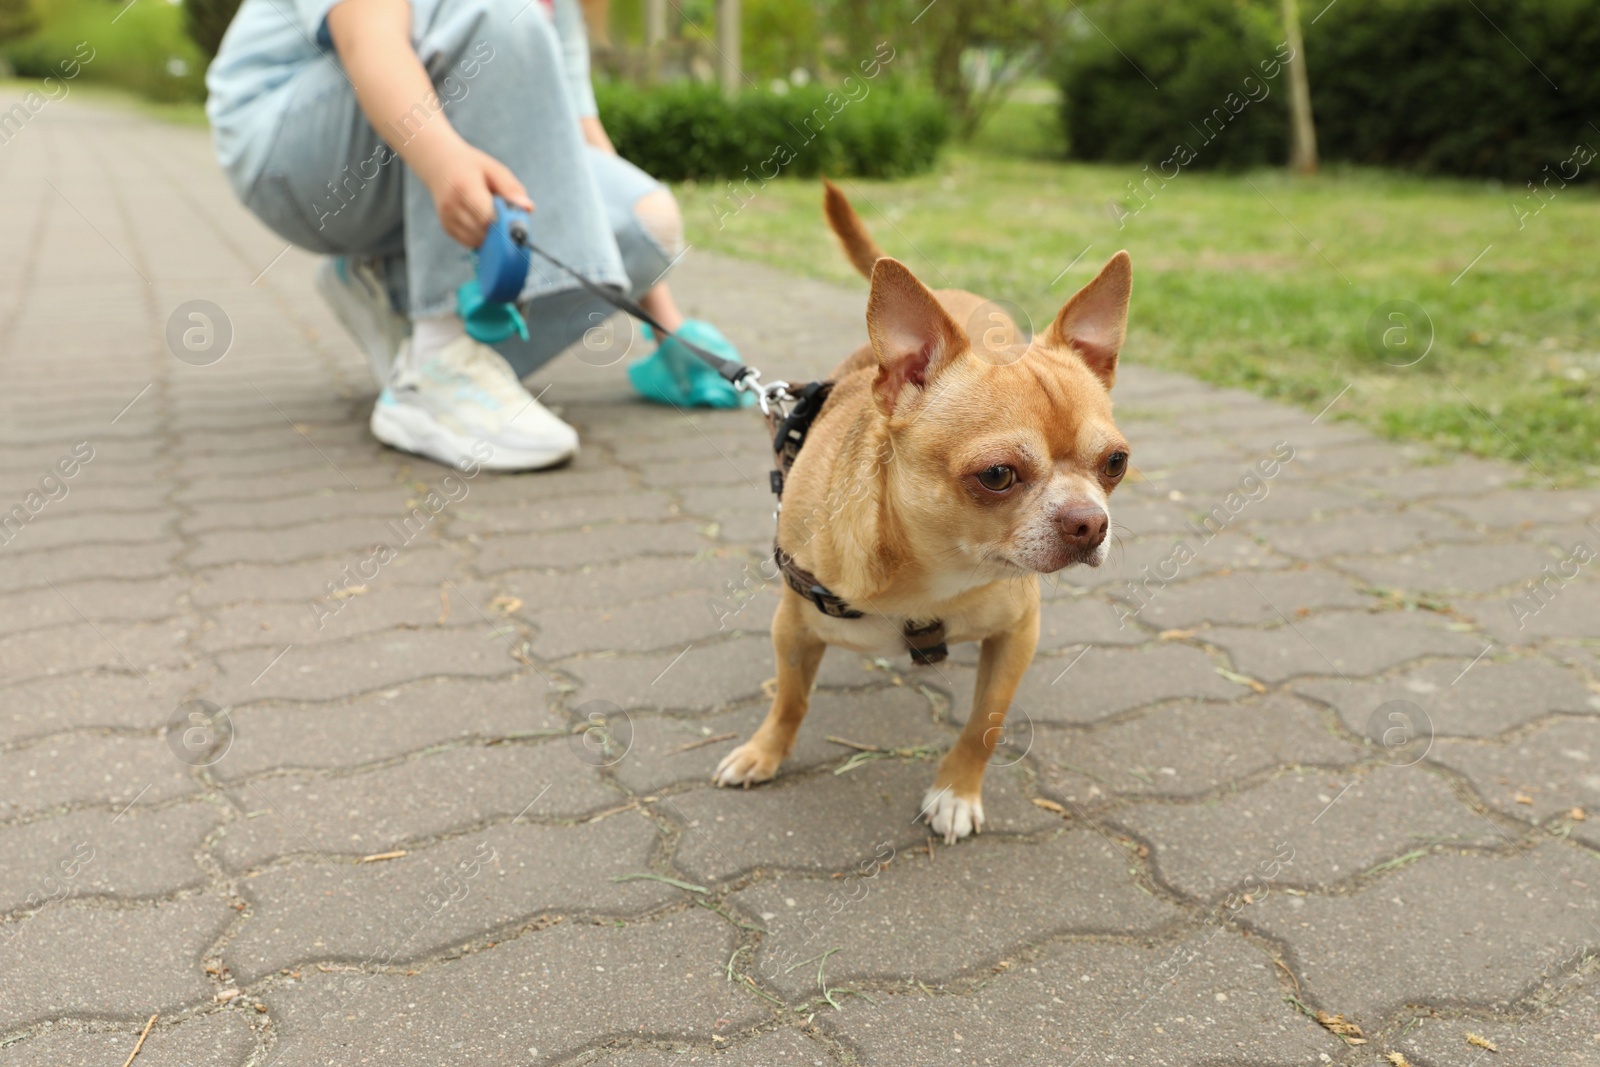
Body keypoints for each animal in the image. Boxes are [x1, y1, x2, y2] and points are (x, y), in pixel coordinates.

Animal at [720, 187, 1132, 844]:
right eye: (997, 475)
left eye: (1115, 462)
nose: (1091, 521)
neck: (930, 573)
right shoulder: (793, 628)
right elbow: (790, 699)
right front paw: (765, 751)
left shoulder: (1017, 635)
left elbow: (985, 722)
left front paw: (956, 792)